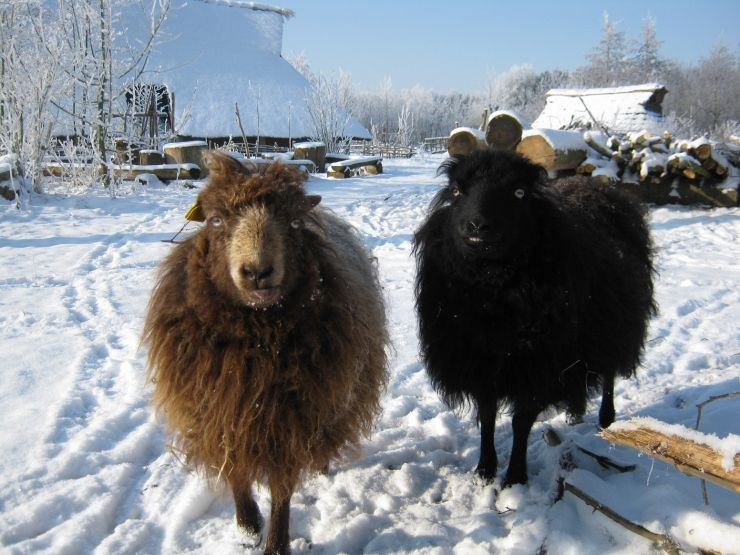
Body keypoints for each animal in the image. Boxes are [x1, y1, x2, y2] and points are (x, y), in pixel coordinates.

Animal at [141, 152, 390, 555]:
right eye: (215, 219)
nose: (257, 271)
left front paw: (275, 544)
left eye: (293, 221)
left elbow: (282, 488)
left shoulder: (290, 420)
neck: (254, 339)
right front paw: (247, 528)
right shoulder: (221, 413)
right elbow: (236, 472)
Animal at [414, 150, 656, 488]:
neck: (493, 291)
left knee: (609, 375)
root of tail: (594, 185)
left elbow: (521, 422)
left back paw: (606, 418)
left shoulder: (538, 364)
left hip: (613, 327)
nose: (476, 225)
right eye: (457, 191)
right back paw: (575, 412)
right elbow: (487, 417)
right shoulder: (481, 361)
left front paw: (515, 476)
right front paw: (485, 471)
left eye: (519, 193)